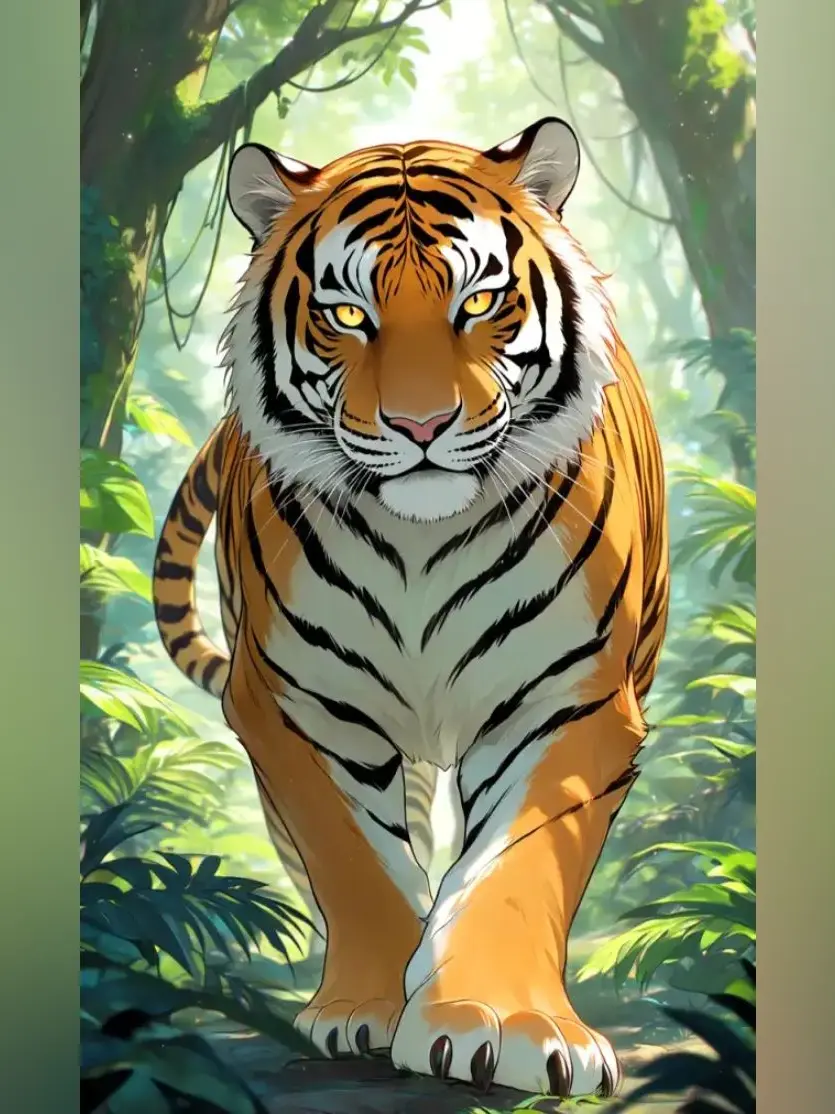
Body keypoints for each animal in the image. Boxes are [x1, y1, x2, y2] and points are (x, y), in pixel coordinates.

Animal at [153, 117, 669, 1098]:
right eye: (349, 315)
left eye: (479, 302)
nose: (421, 427)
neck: (420, 542)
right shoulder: (296, 706)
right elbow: (353, 857)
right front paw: (367, 1010)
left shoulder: (566, 699)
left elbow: (515, 860)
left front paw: (502, 1022)